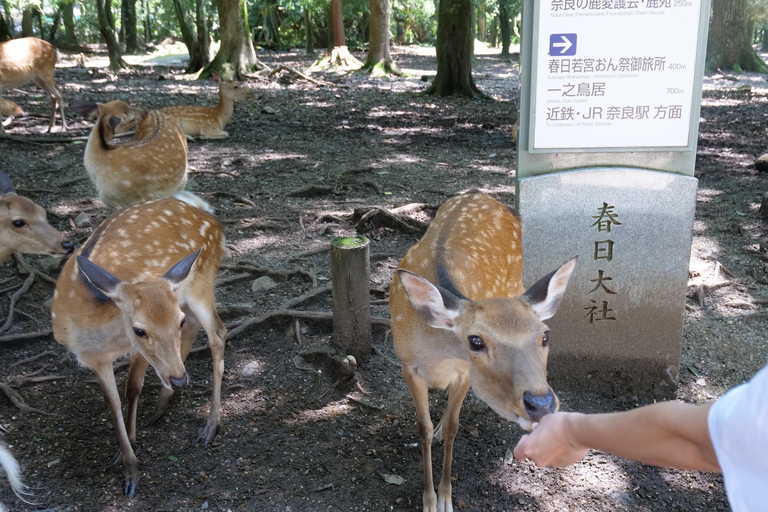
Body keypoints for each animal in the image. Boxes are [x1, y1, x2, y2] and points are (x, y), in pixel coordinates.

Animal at [51, 193, 228, 496]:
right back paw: (163, 402)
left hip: (202, 283)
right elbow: (112, 401)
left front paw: (131, 460)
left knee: (218, 334)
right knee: (200, 326)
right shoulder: (95, 359)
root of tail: (209, 217)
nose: (180, 379)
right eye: (139, 329)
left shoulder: (138, 351)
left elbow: (132, 388)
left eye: (176, 322)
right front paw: (126, 460)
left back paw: (209, 426)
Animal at [390, 193, 576, 512]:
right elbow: (423, 428)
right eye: (476, 341)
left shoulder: (464, 372)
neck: (437, 355)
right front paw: (429, 501)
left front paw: (446, 499)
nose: (540, 404)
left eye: (545, 335)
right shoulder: (407, 364)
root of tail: (482, 194)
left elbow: (454, 427)